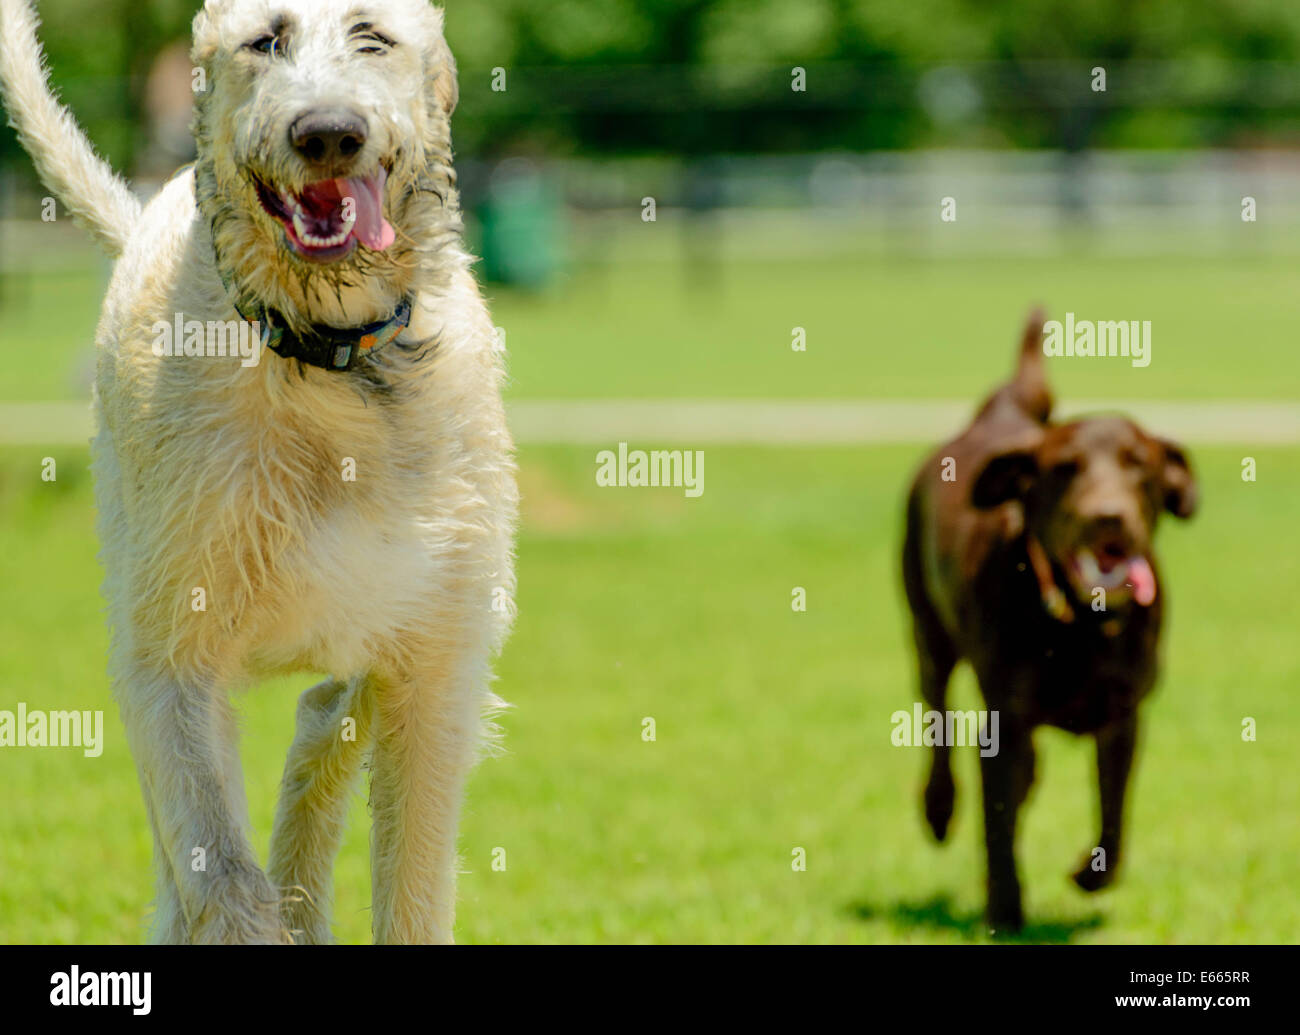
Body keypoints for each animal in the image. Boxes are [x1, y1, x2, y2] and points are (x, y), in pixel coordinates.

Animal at [0, 0, 517, 946]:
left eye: (373, 37)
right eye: (264, 39)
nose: (328, 133)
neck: (327, 364)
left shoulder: (442, 654)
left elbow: (415, 871)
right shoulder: (167, 656)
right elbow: (217, 864)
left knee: (323, 718)